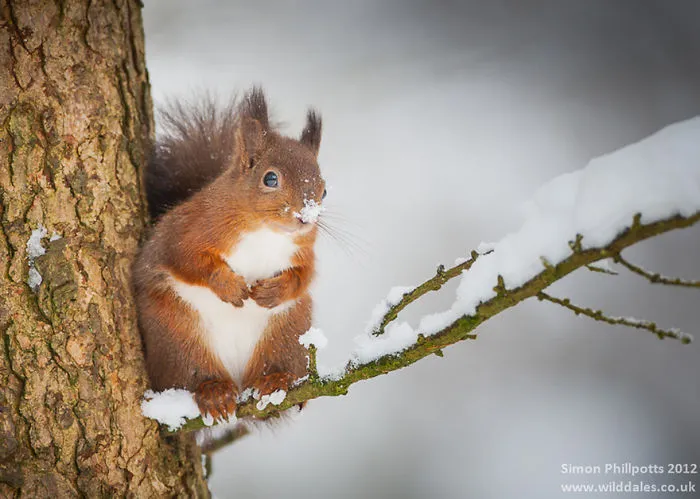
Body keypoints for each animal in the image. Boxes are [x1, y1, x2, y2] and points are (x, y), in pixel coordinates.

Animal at [132, 88, 325, 422]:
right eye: (270, 179)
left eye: (324, 191)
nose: (306, 217)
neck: (265, 233)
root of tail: (237, 377)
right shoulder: (188, 230)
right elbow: (188, 260)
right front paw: (228, 285)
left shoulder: (304, 252)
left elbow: (304, 277)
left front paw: (275, 290)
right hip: (177, 335)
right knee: (192, 373)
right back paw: (213, 391)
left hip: (288, 333)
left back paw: (276, 381)